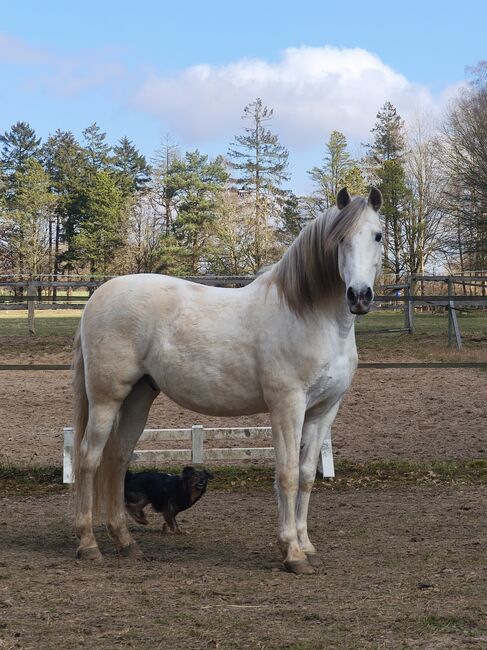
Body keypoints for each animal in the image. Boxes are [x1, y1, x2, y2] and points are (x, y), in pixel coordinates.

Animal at [72, 187, 383, 574]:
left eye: (378, 235)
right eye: (339, 239)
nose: (359, 296)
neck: (309, 316)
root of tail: (96, 298)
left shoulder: (324, 410)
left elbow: (308, 475)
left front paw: (307, 546)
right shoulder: (287, 406)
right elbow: (287, 475)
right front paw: (291, 553)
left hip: (138, 398)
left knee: (117, 459)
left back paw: (126, 542)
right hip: (106, 398)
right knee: (89, 459)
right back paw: (88, 544)